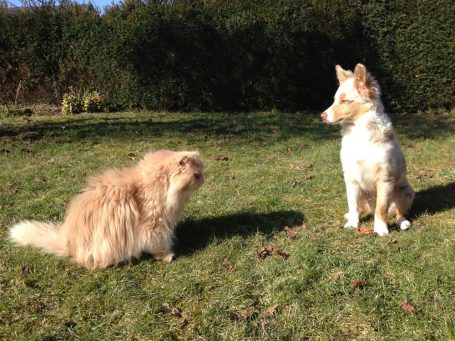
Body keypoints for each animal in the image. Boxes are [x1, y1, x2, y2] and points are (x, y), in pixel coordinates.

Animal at [8, 150, 205, 266]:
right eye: (196, 175)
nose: (203, 179)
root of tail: (66, 241)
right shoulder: (155, 224)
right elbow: (158, 243)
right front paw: (167, 255)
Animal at [320, 63, 416, 234]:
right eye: (335, 100)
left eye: (345, 101)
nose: (322, 116)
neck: (359, 132)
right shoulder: (350, 177)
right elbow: (352, 205)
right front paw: (352, 224)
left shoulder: (385, 178)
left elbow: (381, 208)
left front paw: (381, 229)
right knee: (360, 208)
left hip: (406, 192)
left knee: (398, 213)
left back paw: (403, 223)